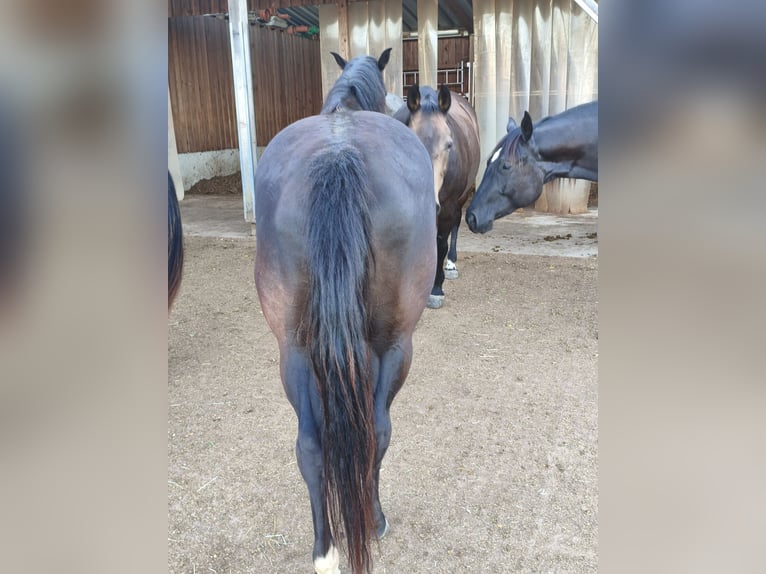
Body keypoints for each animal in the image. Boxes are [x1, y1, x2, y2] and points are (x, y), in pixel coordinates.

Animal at [254, 50, 436, 574]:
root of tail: (338, 154)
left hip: (293, 351)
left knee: (310, 446)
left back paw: (325, 550)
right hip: (397, 346)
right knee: (378, 430)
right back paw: (372, 522)